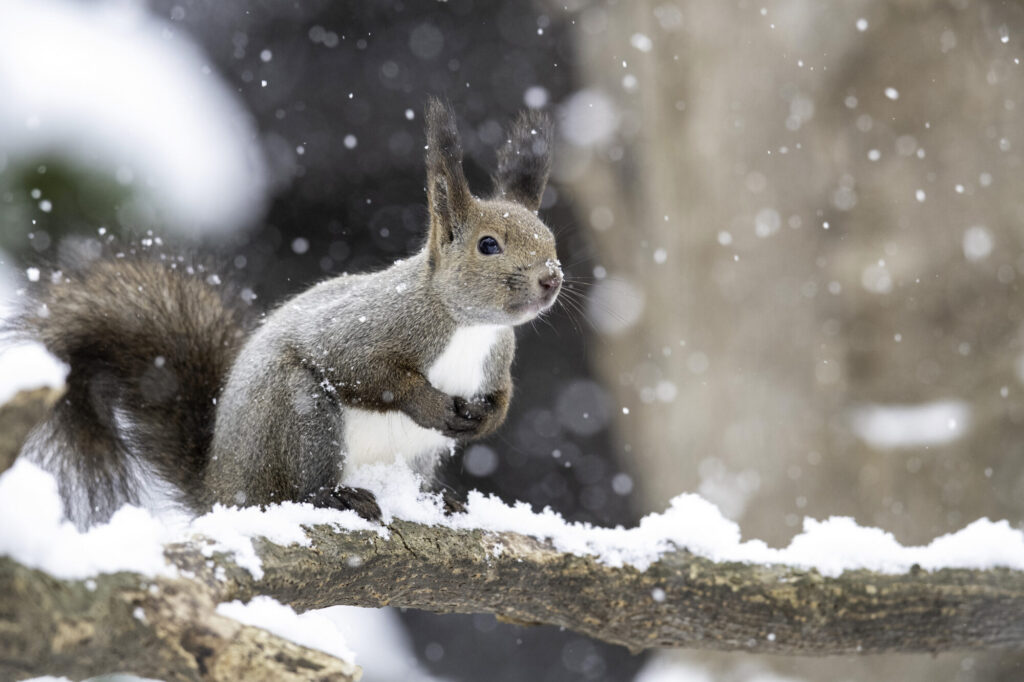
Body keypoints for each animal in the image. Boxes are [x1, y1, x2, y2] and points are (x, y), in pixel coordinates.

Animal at [8, 98, 561, 528]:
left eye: (551, 240)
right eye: (488, 245)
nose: (551, 279)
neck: (471, 327)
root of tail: (219, 489)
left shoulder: (497, 359)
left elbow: (502, 393)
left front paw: (489, 417)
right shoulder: (369, 326)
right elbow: (368, 372)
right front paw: (426, 402)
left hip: (415, 454)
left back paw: (436, 499)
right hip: (298, 412)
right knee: (298, 488)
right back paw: (338, 497)